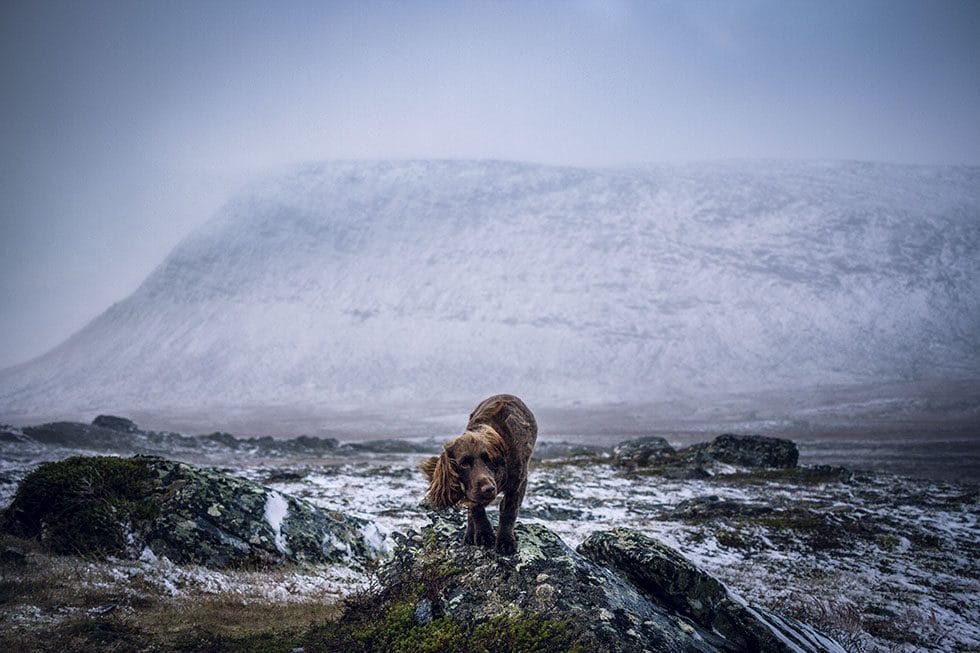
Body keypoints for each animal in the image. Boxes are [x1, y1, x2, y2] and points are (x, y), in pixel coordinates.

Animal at [422, 394, 540, 552]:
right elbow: (475, 508)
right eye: (464, 463)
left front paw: (505, 540)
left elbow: (509, 510)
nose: (488, 489)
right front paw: (484, 534)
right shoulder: (470, 488)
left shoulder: (519, 482)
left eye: (488, 460)